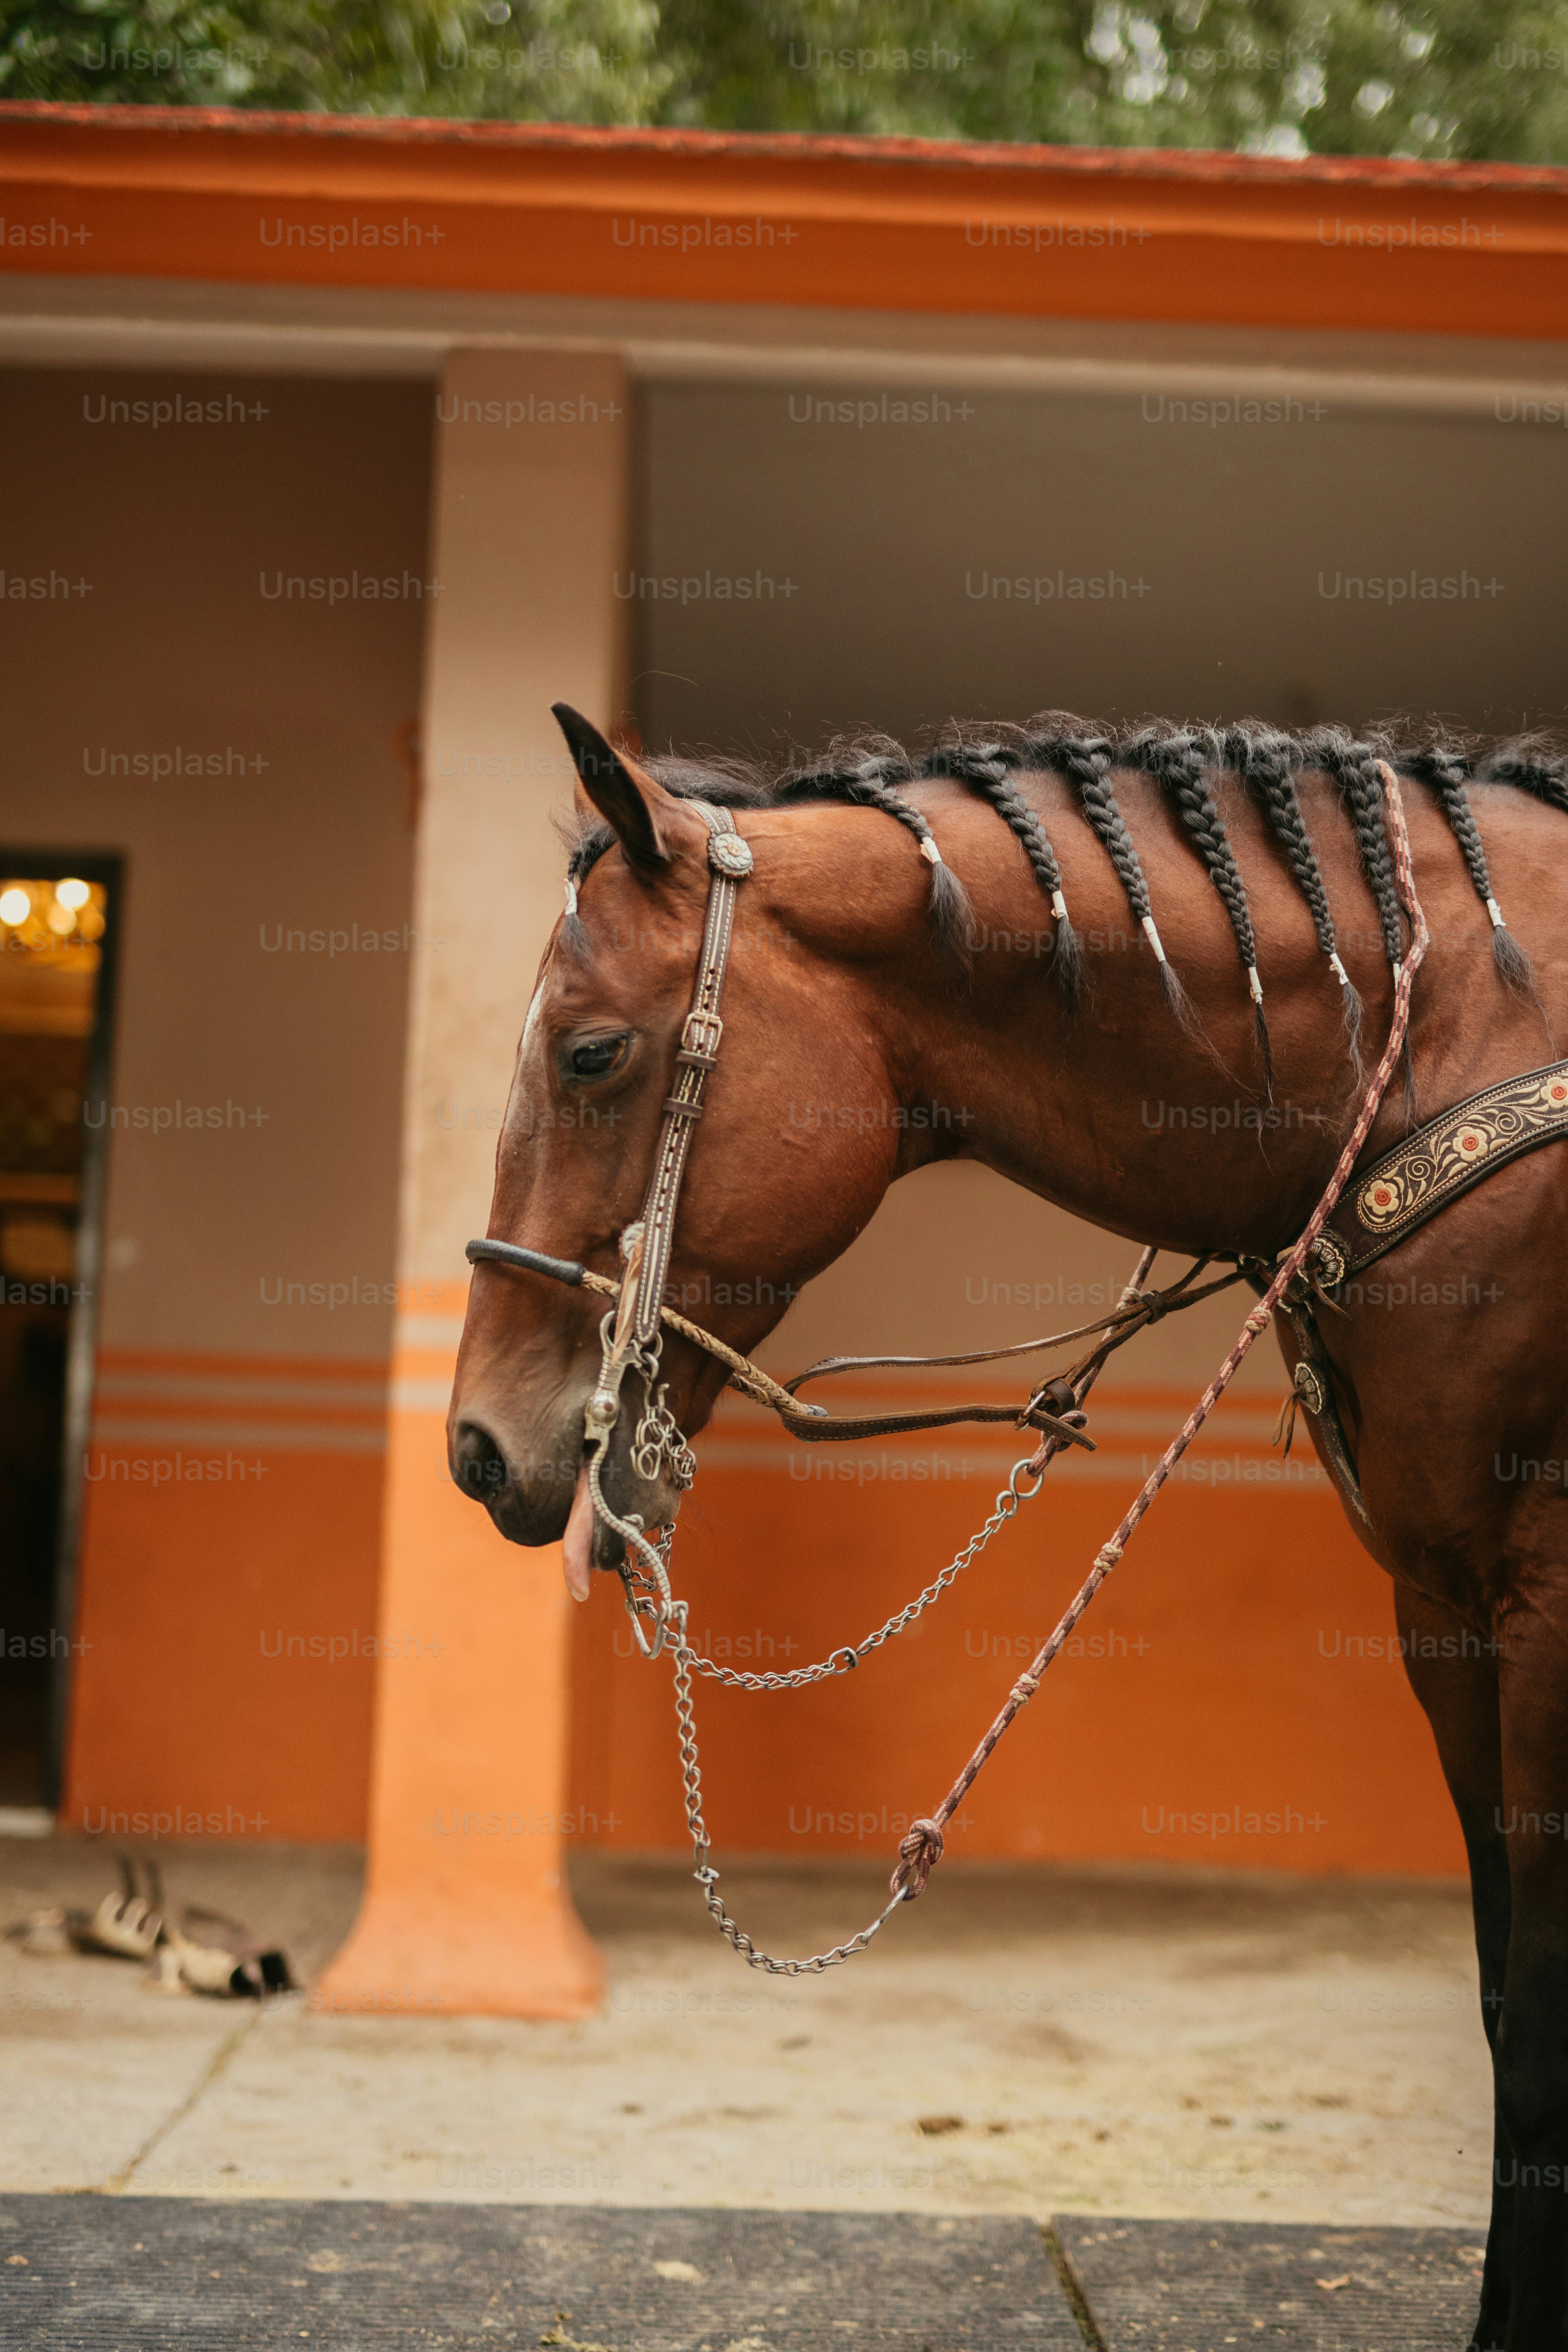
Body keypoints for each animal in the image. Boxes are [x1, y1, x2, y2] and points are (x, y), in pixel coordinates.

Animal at [449, 704, 1568, 2352]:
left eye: (591, 1050)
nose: (476, 1446)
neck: (1467, 1039)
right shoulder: (1443, 1609)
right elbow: (1501, 2001)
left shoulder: (1544, 1606)